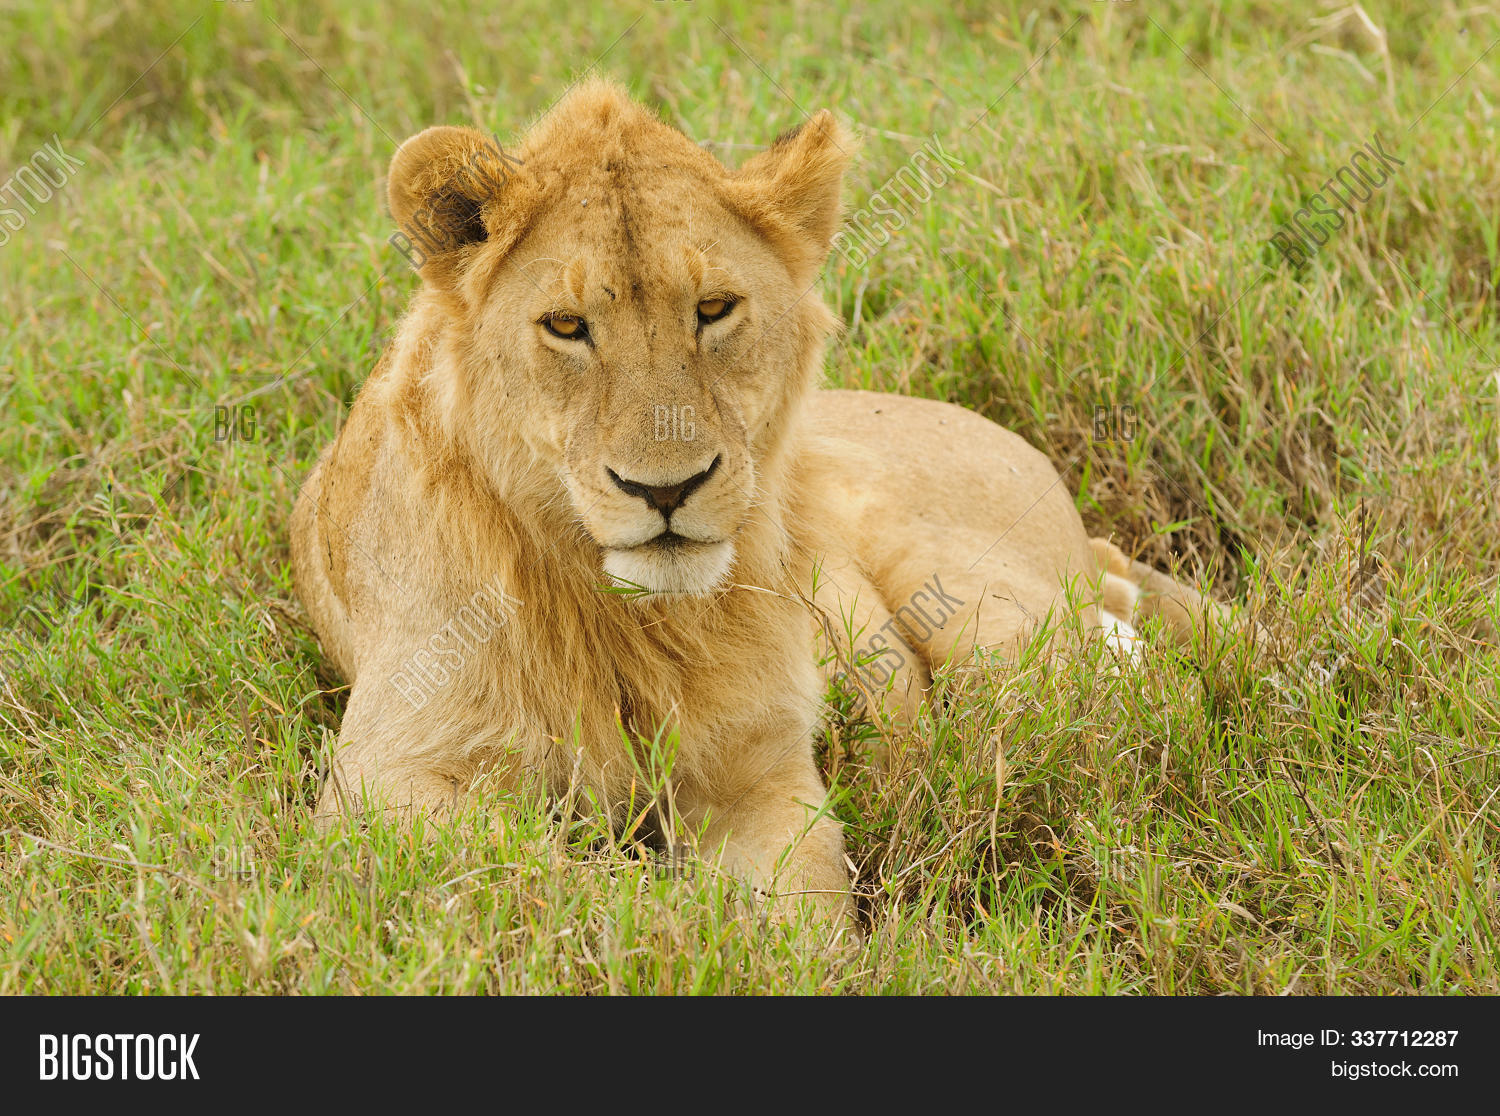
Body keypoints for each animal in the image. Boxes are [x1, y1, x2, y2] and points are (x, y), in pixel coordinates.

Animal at [289, 79, 1230, 926]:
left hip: (986, 620)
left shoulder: (764, 775)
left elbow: (792, 921)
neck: (632, 620)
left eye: (713, 309)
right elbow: (572, 888)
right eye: (565, 326)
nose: (665, 488)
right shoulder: (390, 780)